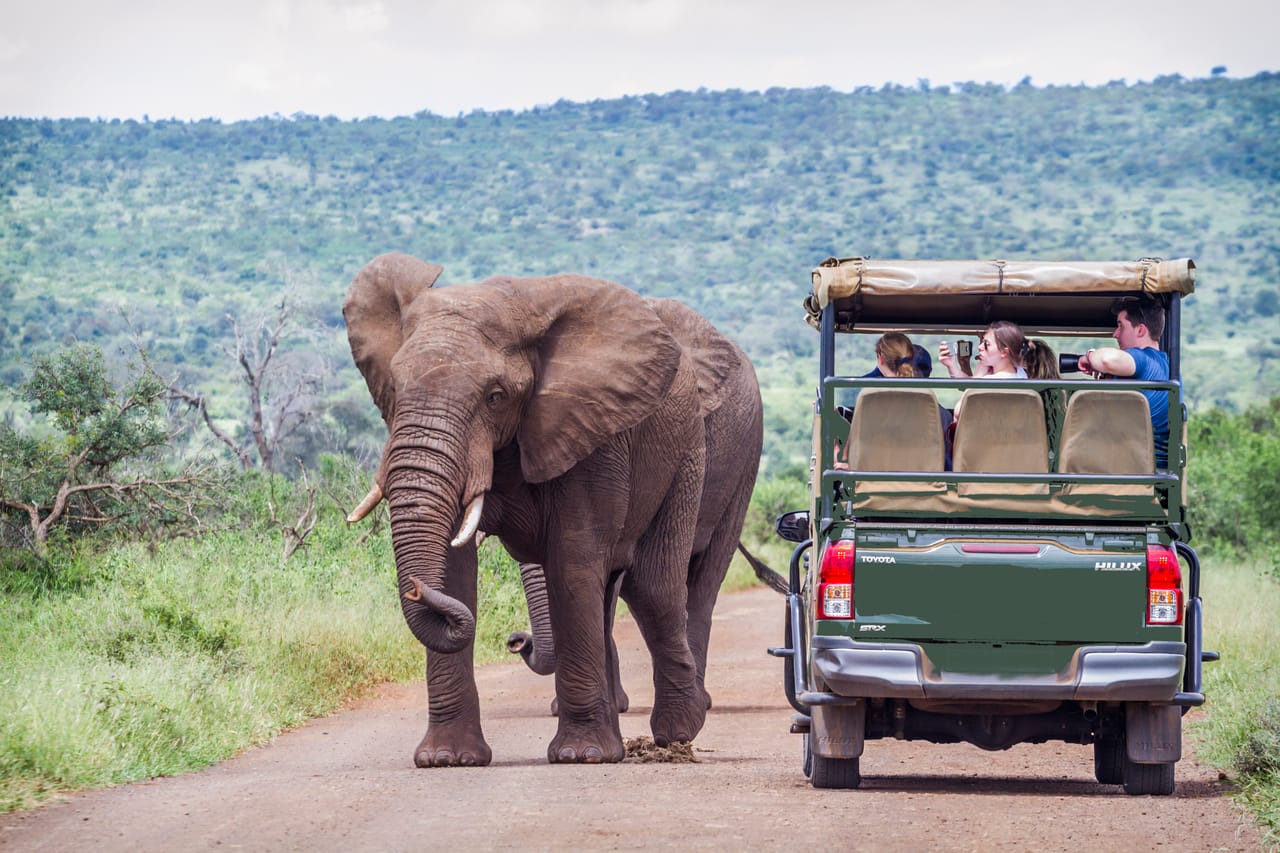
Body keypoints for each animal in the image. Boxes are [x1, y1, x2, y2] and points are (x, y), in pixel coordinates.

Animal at [343, 252, 764, 766]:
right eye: (394, 389)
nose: (514, 639)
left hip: (700, 453)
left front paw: (582, 756)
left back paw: (678, 733)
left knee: (659, 587)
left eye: (495, 396)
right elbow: (458, 570)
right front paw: (447, 759)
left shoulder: (594, 431)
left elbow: (573, 560)